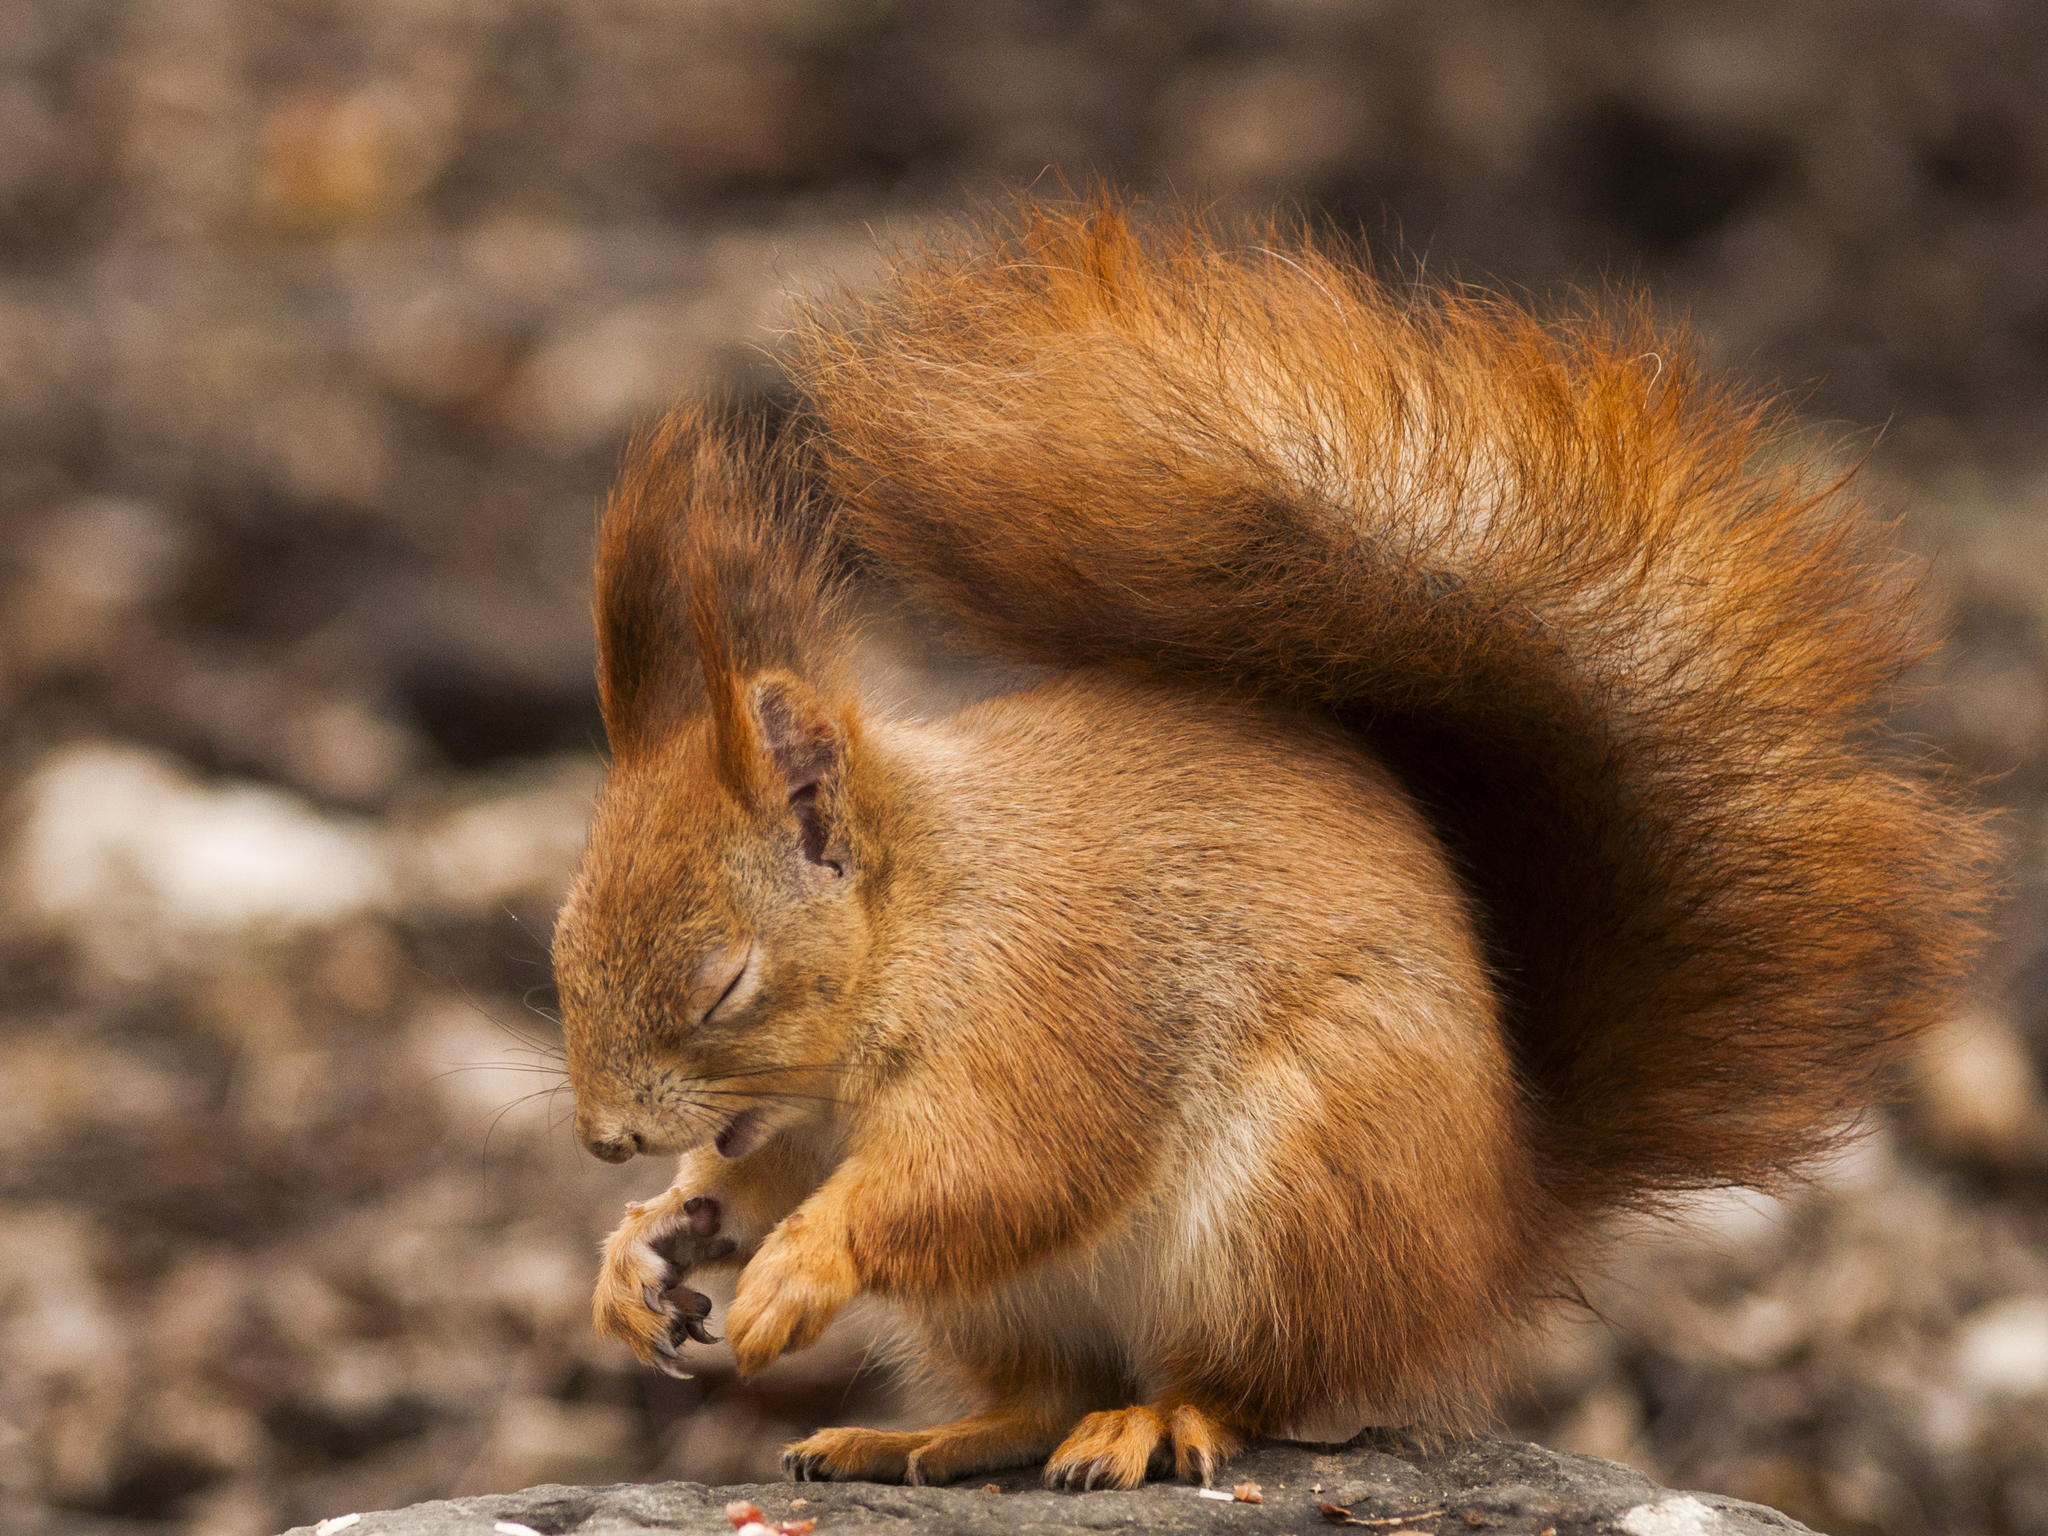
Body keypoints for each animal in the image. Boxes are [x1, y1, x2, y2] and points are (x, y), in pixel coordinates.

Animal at [544, 195, 1982, 1490]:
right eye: (554, 953)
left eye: (724, 982)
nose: (606, 1141)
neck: (923, 917)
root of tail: (1489, 1231)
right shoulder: (796, 1124)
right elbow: (760, 1182)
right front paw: (647, 1247)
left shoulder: (1047, 1010)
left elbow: (994, 1170)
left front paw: (800, 1261)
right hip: (1022, 1300)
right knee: (1040, 1392)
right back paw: (926, 1438)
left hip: (1286, 1212)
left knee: (1242, 1388)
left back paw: (1147, 1424)